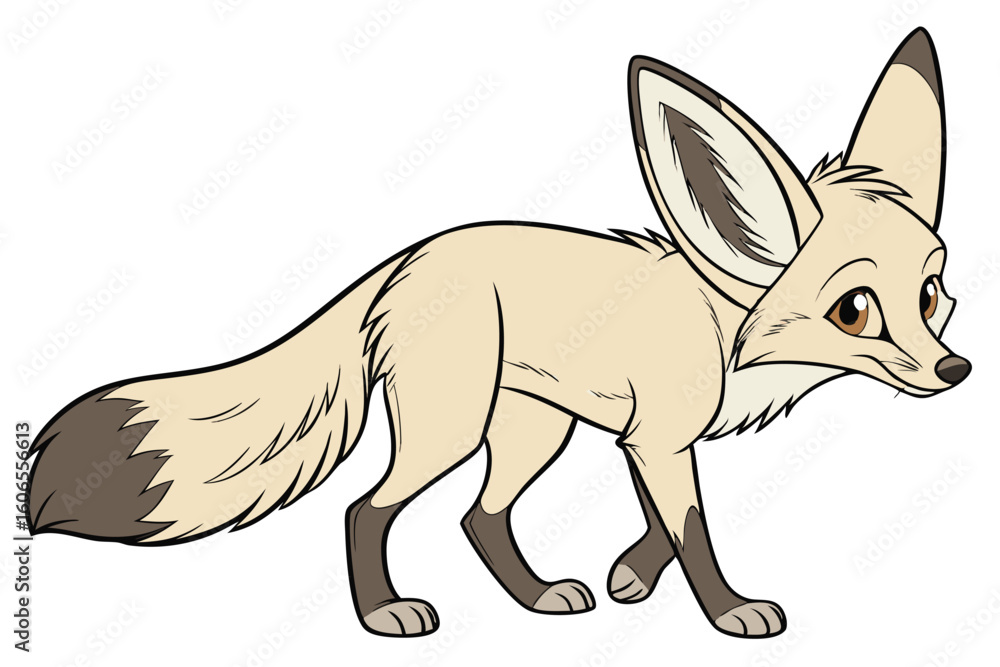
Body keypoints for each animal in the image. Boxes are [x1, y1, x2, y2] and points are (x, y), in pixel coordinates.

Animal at [27, 27, 968, 639]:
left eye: (932, 294)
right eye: (854, 310)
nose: (956, 370)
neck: (722, 327)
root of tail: (410, 257)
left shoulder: (640, 437)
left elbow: (661, 527)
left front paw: (629, 575)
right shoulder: (659, 438)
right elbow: (692, 531)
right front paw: (729, 610)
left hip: (531, 430)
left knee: (479, 518)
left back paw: (538, 597)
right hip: (449, 429)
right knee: (367, 508)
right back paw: (384, 614)